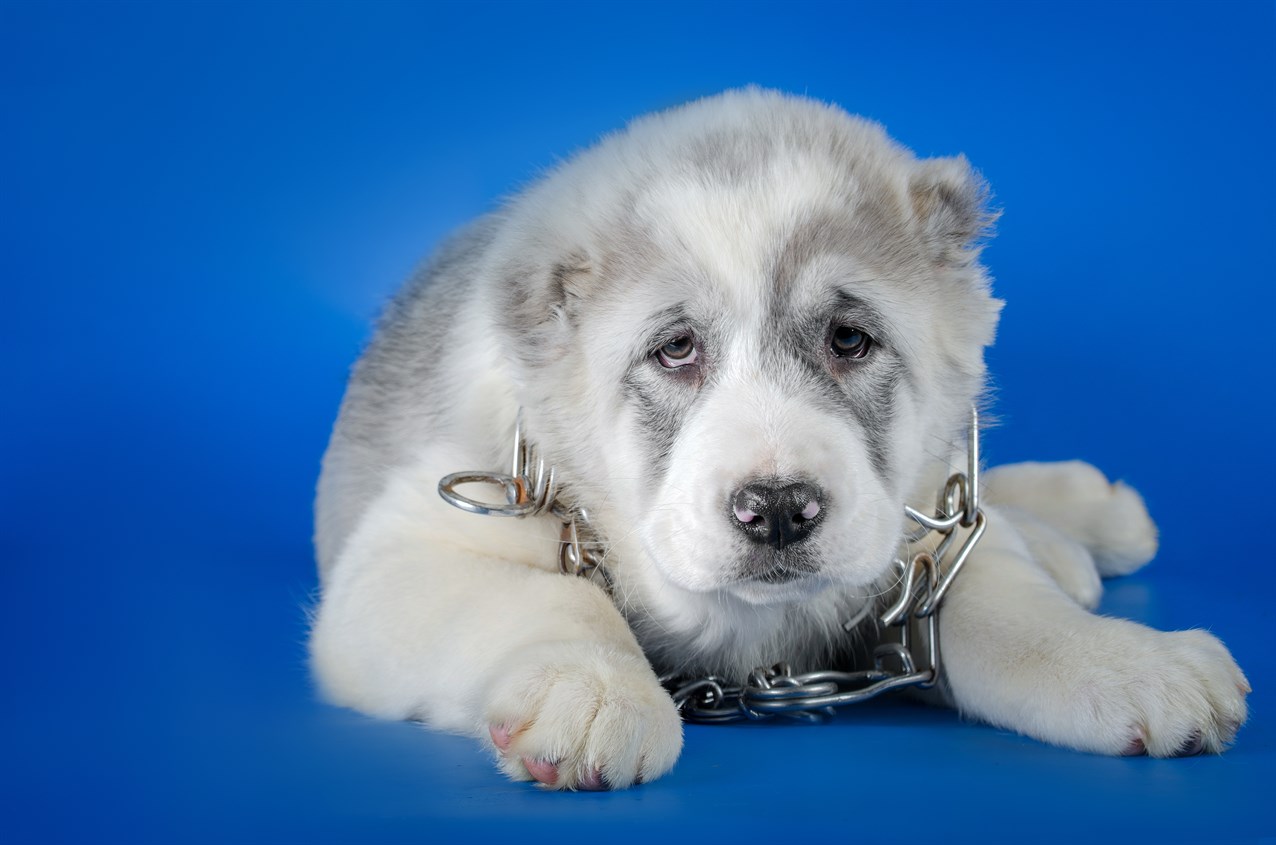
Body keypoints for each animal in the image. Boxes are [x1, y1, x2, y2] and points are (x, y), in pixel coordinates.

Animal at [308, 91, 1245, 796]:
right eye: (675, 348)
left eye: (849, 339)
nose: (780, 509)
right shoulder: (402, 557)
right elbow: (554, 598)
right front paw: (592, 687)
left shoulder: (920, 543)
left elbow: (1011, 610)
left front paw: (1126, 661)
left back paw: (1085, 523)